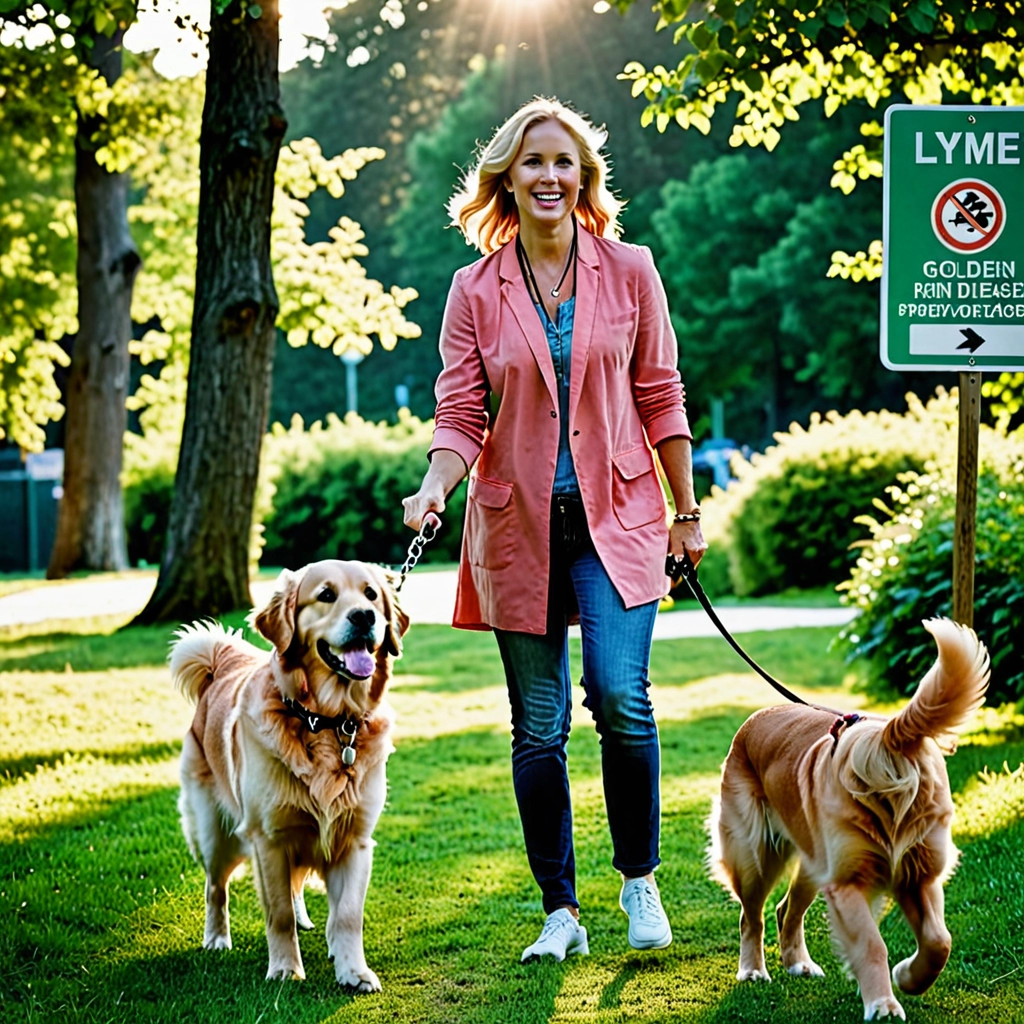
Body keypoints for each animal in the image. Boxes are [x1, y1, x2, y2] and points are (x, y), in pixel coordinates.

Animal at [167, 561, 407, 991]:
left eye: (371, 595)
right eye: (326, 595)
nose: (365, 617)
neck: (328, 722)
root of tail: (219, 664)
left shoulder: (355, 839)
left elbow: (348, 914)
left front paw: (353, 970)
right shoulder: (269, 838)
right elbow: (275, 914)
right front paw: (284, 969)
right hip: (216, 832)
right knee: (216, 886)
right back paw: (216, 938)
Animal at [708, 618, 987, 1019]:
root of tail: (754, 719)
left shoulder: (918, 875)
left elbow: (939, 941)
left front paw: (907, 977)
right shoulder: (848, 882)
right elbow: (872, 944)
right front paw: (883, 1004)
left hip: (814, 863)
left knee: (785, 909)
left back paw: (798, 963)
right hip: (756, 856)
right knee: (752, 915)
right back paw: (753, 970)